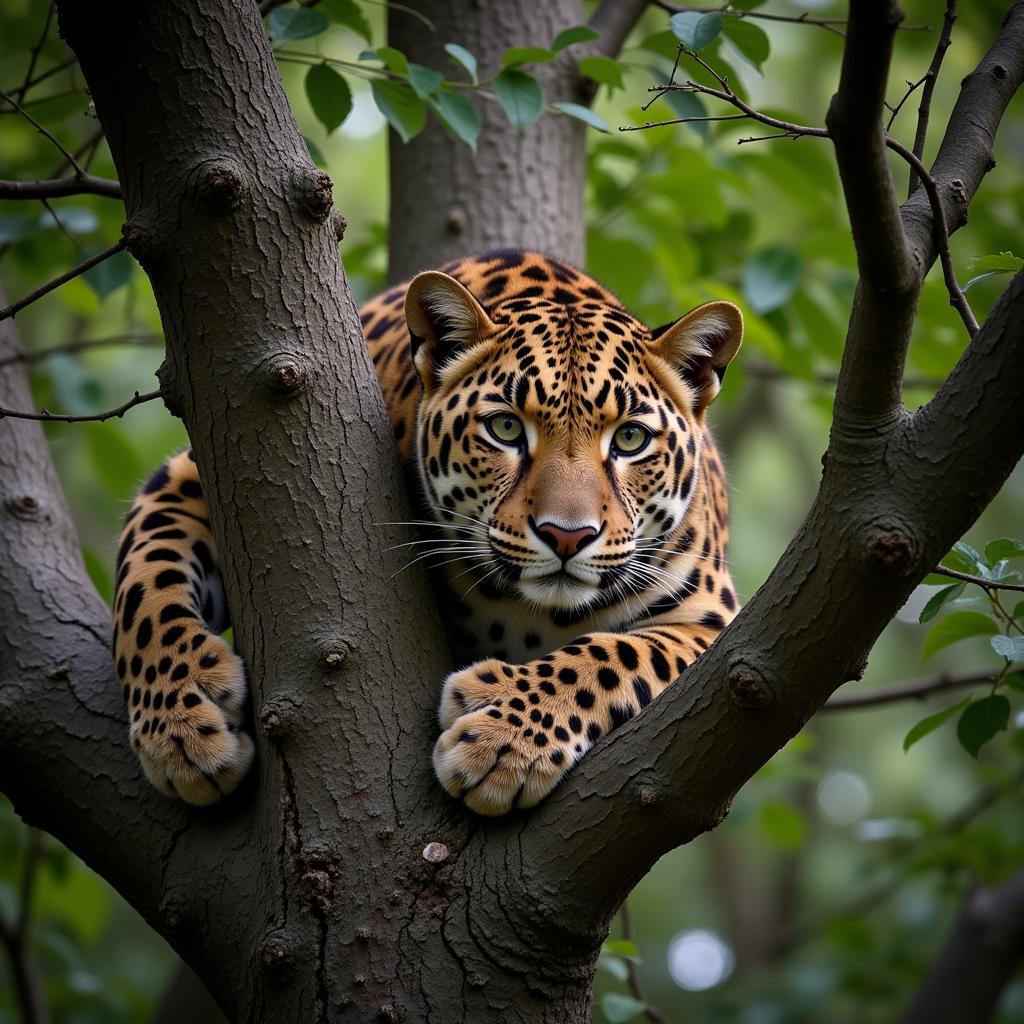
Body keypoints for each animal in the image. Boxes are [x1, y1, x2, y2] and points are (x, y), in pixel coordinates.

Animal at [112, 247, 741, 815]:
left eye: (631, 439)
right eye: (505, 428)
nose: (566, 536)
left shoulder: (712, 622)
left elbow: (614, 655)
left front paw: (500, 742)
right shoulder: (186, 481)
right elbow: (147, 588)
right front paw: (181, 723)